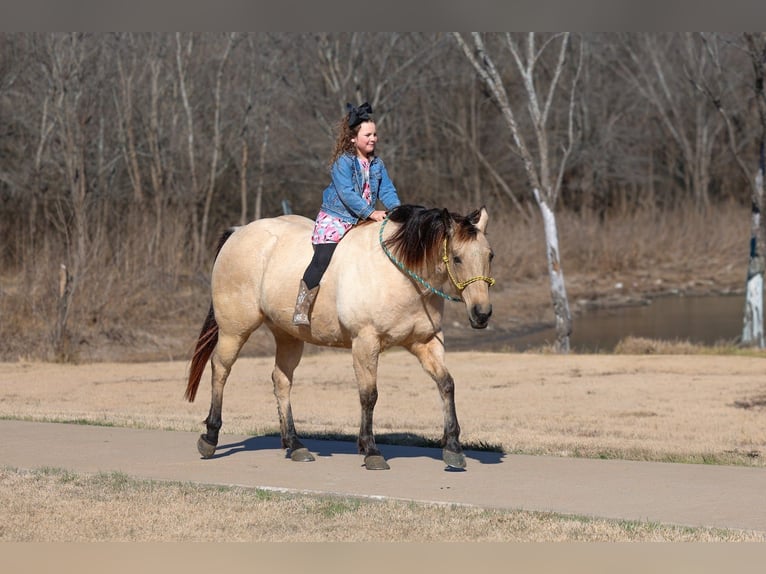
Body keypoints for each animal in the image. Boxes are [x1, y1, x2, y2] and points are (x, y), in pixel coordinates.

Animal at [184, 204, 496, 470]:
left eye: (489, 255)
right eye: (457, 258)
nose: (481, 314)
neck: (402, 275)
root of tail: (238, 232)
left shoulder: (425, 342)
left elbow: (447, 385)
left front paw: (453, 448)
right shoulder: (365, 342)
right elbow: (369, 395)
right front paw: (371, 450)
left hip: (288, 336)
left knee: (281, 381)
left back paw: (295, 444)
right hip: (234, 329)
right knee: (221, 369)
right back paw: (210, 437)